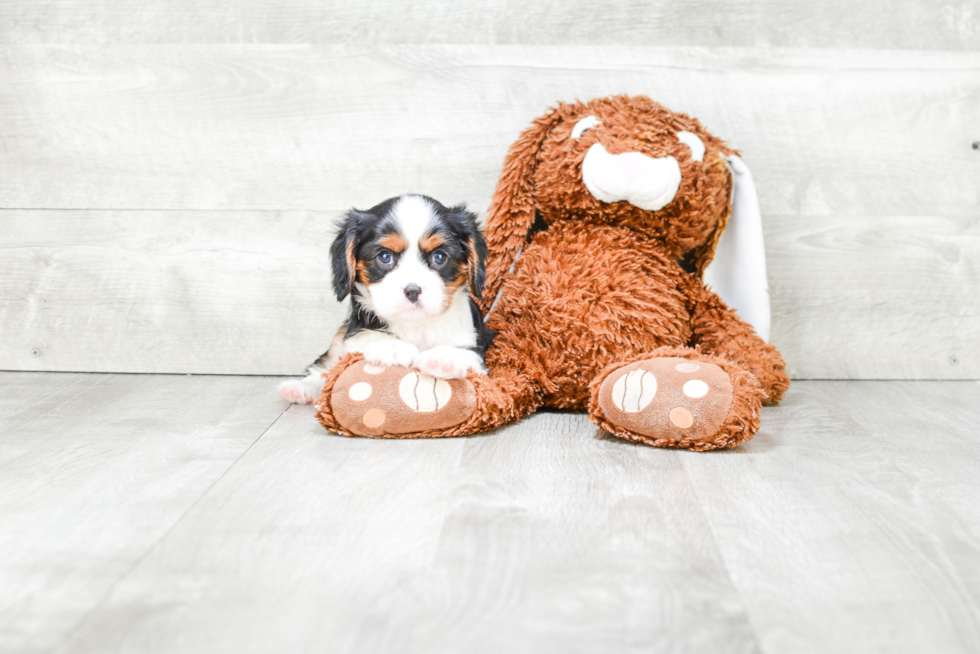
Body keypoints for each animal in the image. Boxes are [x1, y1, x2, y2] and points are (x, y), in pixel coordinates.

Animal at [278, 193, 494, 404]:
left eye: (439, 257)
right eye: (385, 257)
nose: (412, 290)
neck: (414, 325)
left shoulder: (475, 347)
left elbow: (467, 355)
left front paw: (443, 358)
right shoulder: (356, 328)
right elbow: (362, 338)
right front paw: (391, 346)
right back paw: (300, 388)